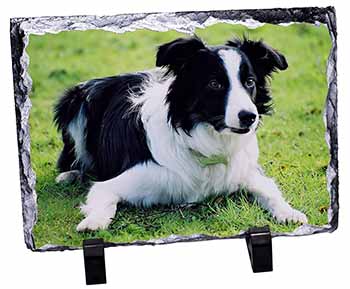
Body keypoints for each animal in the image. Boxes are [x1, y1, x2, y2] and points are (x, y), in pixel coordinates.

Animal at [53, 36, 308, 230]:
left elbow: (270, 190)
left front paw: (289, 212)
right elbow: (103, 197)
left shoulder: (245, 170)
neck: (206, 141)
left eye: (250, 82)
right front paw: (94, 221)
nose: (249, 116)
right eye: (214, 84)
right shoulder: (121, 181)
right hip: (73, 103)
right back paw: (70, 175)